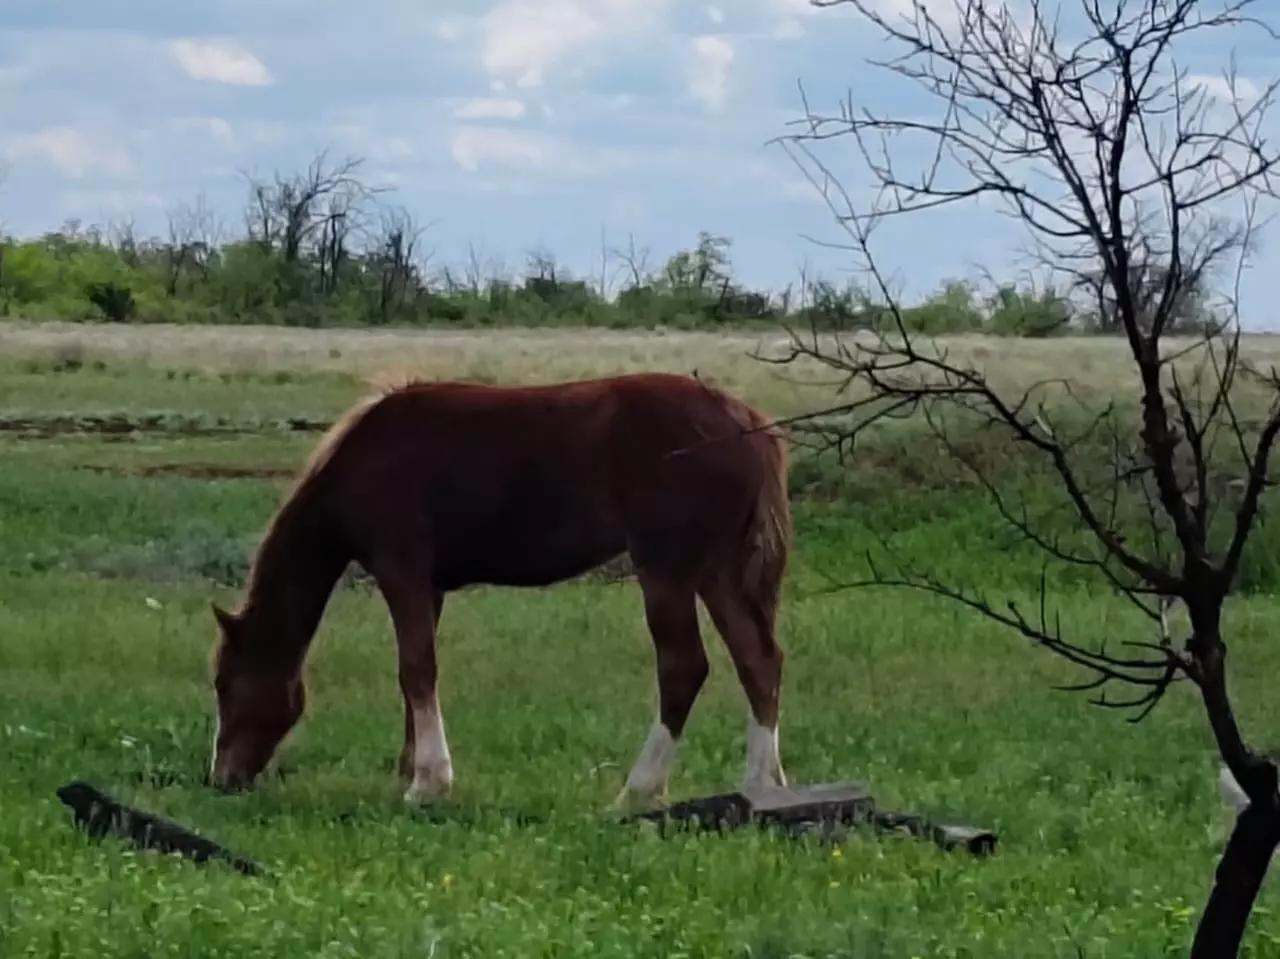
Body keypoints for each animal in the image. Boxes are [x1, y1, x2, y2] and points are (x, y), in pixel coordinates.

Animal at [208, 372, 791, 809]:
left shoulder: (401, 571)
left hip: (667, 569)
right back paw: (763, 787)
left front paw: (428, 783)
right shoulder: (430, 588)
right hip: (717, 572)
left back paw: (637, 790)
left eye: (224, 683)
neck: (364, 461)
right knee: (758, 661)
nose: (221, 777)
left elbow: (416, 669)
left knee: (683, 668)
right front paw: (408, 774)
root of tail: (745, 422)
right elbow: (414, 675)